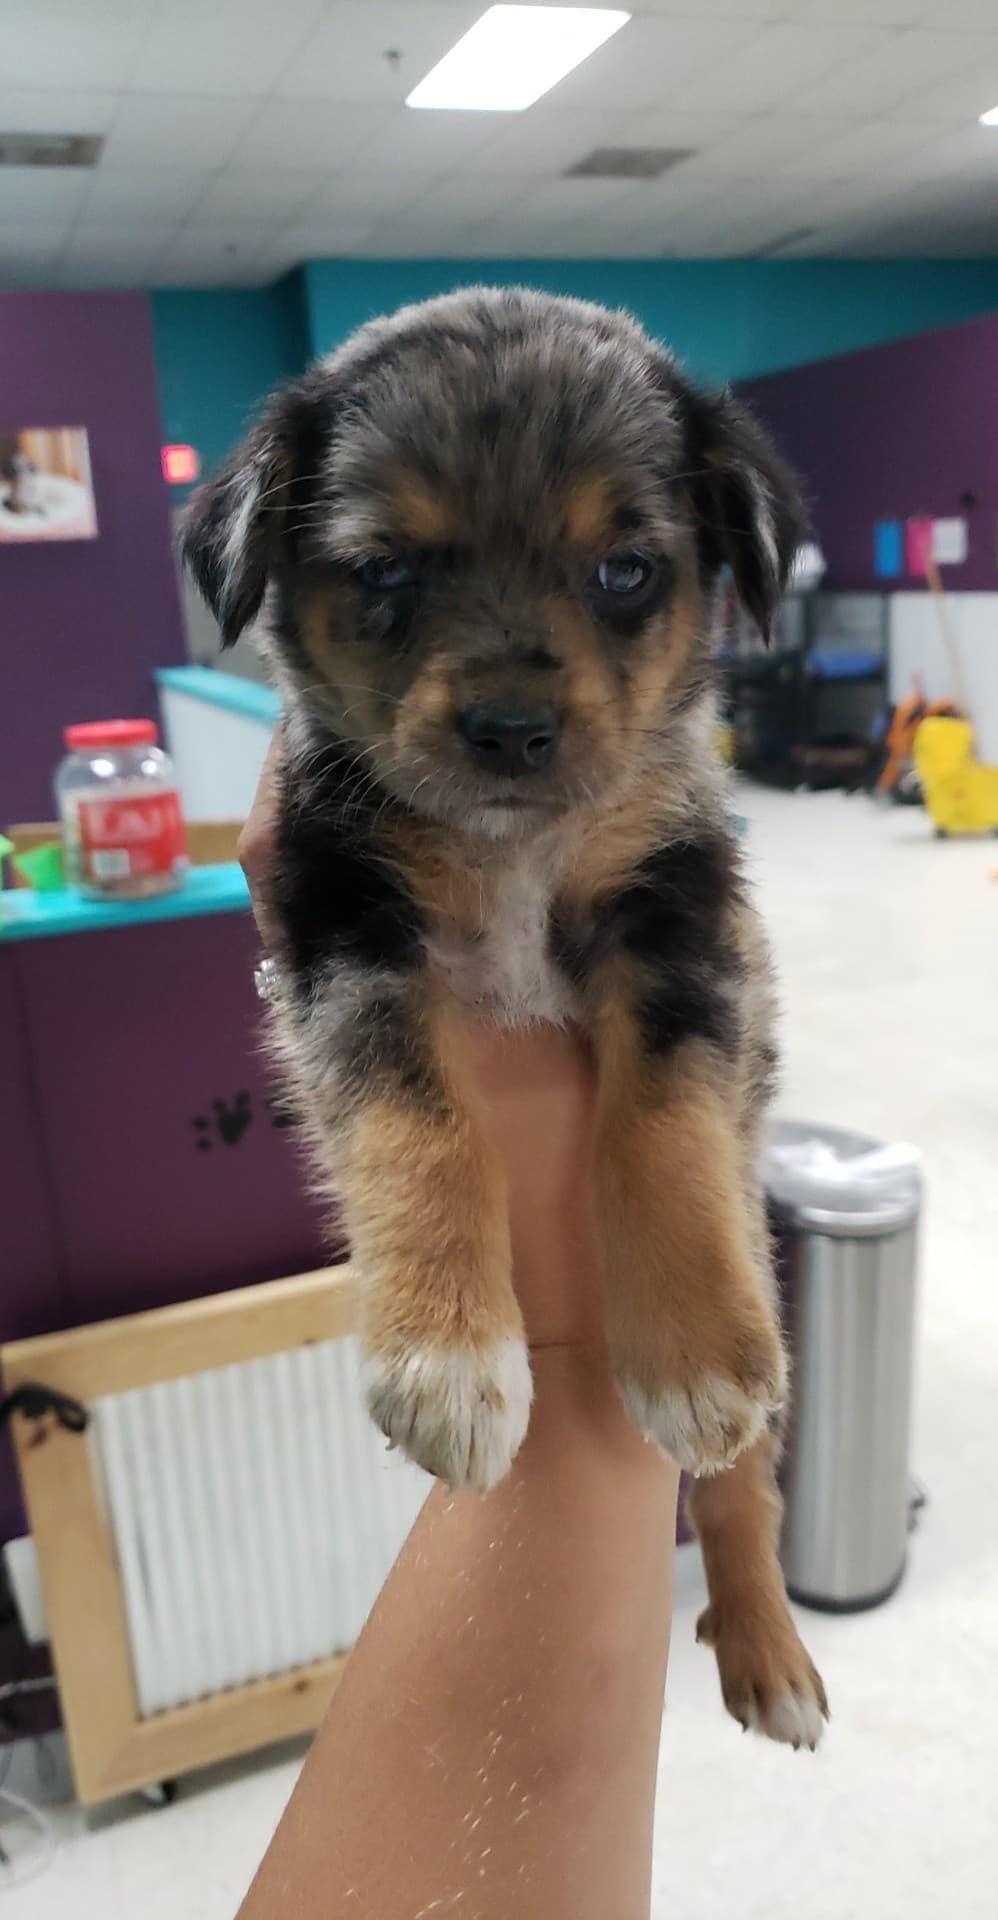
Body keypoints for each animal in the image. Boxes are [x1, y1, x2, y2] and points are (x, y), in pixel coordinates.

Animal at [183, 291, 829, 1751]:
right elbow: (416, 1126)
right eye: (381, 570)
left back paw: (766, 1646)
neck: (511, 852)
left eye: (627, 570)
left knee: (743, 1491)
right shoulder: (345, 932)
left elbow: (661, 1126)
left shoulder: (681, 919)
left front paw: (690, 1354)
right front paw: (445, 1355)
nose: (512, 728)